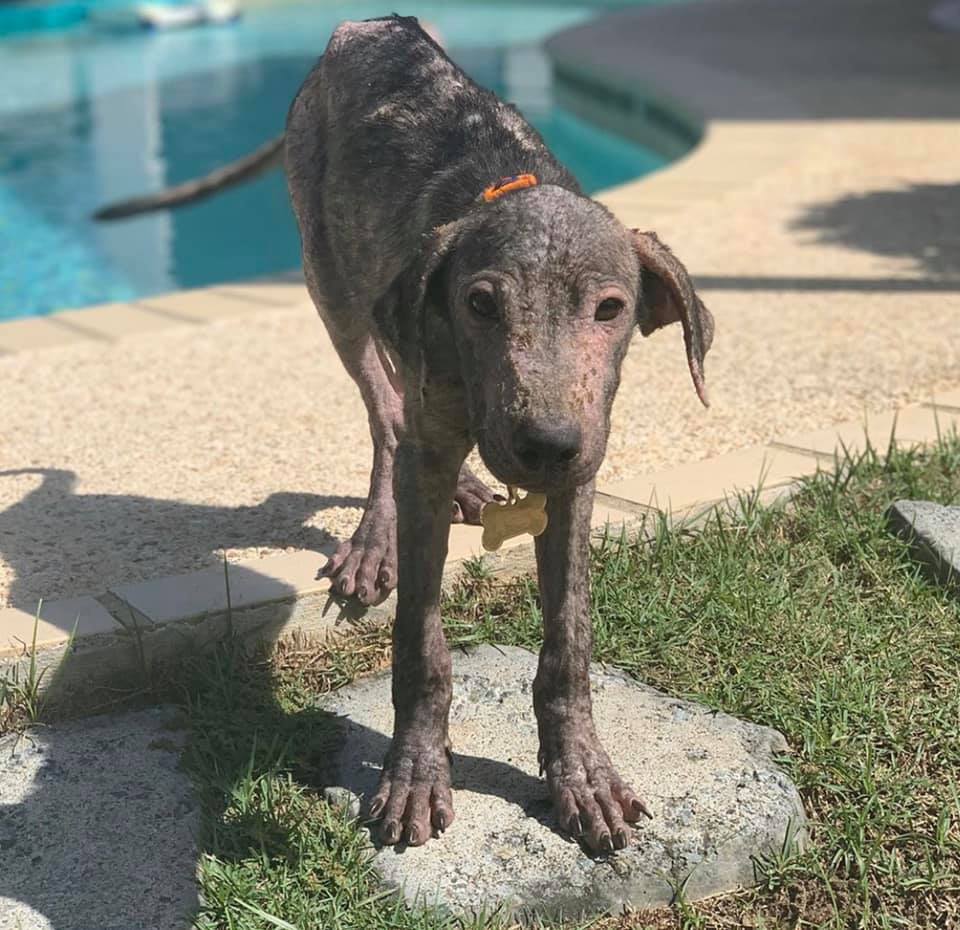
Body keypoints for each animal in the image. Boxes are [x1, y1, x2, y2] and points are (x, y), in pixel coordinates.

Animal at [99, 12, 712, 848]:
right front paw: (417, 771)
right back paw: (374, 537)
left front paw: (581, 771)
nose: (545, 445)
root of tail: (371, 24)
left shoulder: (582, 471)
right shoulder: (434, 430)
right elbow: (421, 643)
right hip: (334, 281)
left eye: (610, 309)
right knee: (386, 414)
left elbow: (570, 642)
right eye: (481, 303)